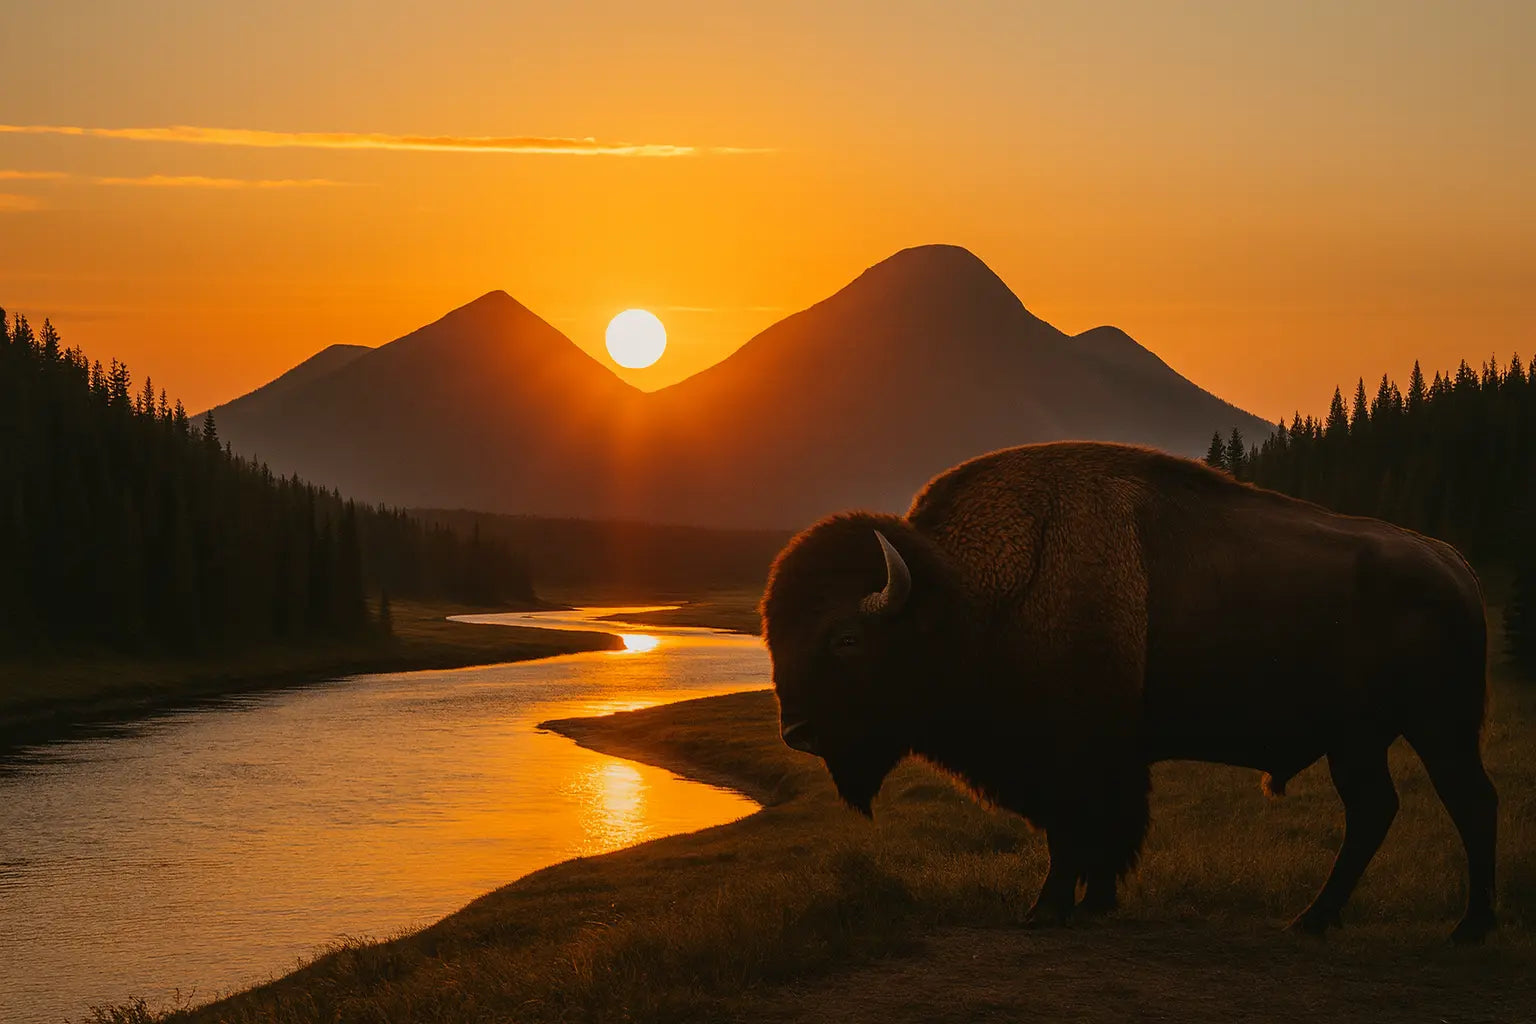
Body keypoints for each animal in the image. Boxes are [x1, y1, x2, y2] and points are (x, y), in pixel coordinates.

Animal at [762, 441, 1495, 943]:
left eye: (846, 639)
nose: (798, 732)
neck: (974, 595)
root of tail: (1455, 563)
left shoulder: (1076, 760)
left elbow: (1076, 834)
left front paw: (1048, 909)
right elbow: (1090, 838)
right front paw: (1093, 902)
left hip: (1437, 728)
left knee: (1468, 801)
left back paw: (1467, 928)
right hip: (1360, 741)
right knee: (1376, 811)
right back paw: (1314, 920)